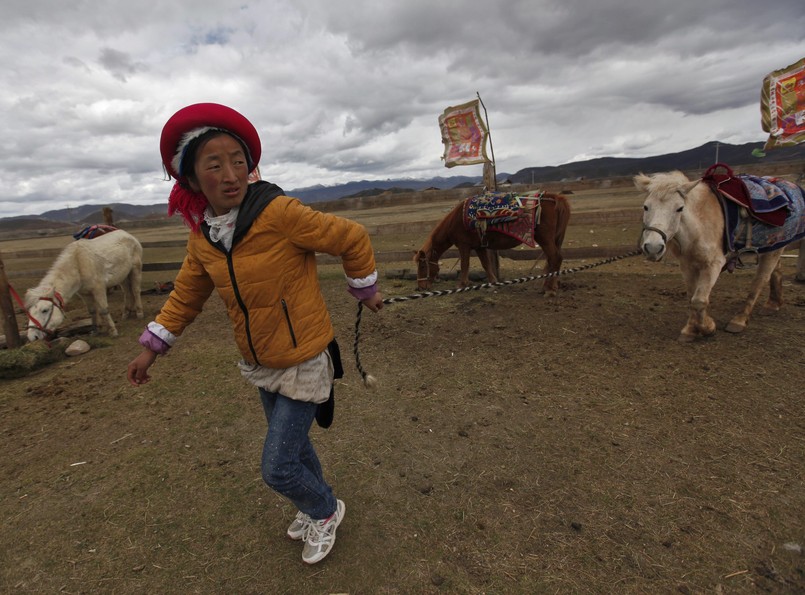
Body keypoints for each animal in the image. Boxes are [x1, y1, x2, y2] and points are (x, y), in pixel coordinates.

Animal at [418, 194, 568, 296]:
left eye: (423, 266)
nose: (420, 287)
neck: (456, 220)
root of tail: (553, 198)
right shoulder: (479, 247)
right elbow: (486, 264)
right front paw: (493, 283)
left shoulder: (464, 246)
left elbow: (464, 265)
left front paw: (461, 285)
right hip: (552, 240)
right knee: (551, 260)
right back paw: (546, 287)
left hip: (545, 239)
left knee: (555, 258)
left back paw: (550, 290)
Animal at [636, 170, 800, 342]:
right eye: (646, 207)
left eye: (679, 208)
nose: (653, 247)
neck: (699, 226)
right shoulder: (687, 265)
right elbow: (691, 296)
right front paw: (691, 329)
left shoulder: (714, 264)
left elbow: (699, 300)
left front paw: (708, 328)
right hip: (773, 248)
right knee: (776, 272)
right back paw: (773, 305)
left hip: (773, 250)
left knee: (759, 281)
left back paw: (739, 320)